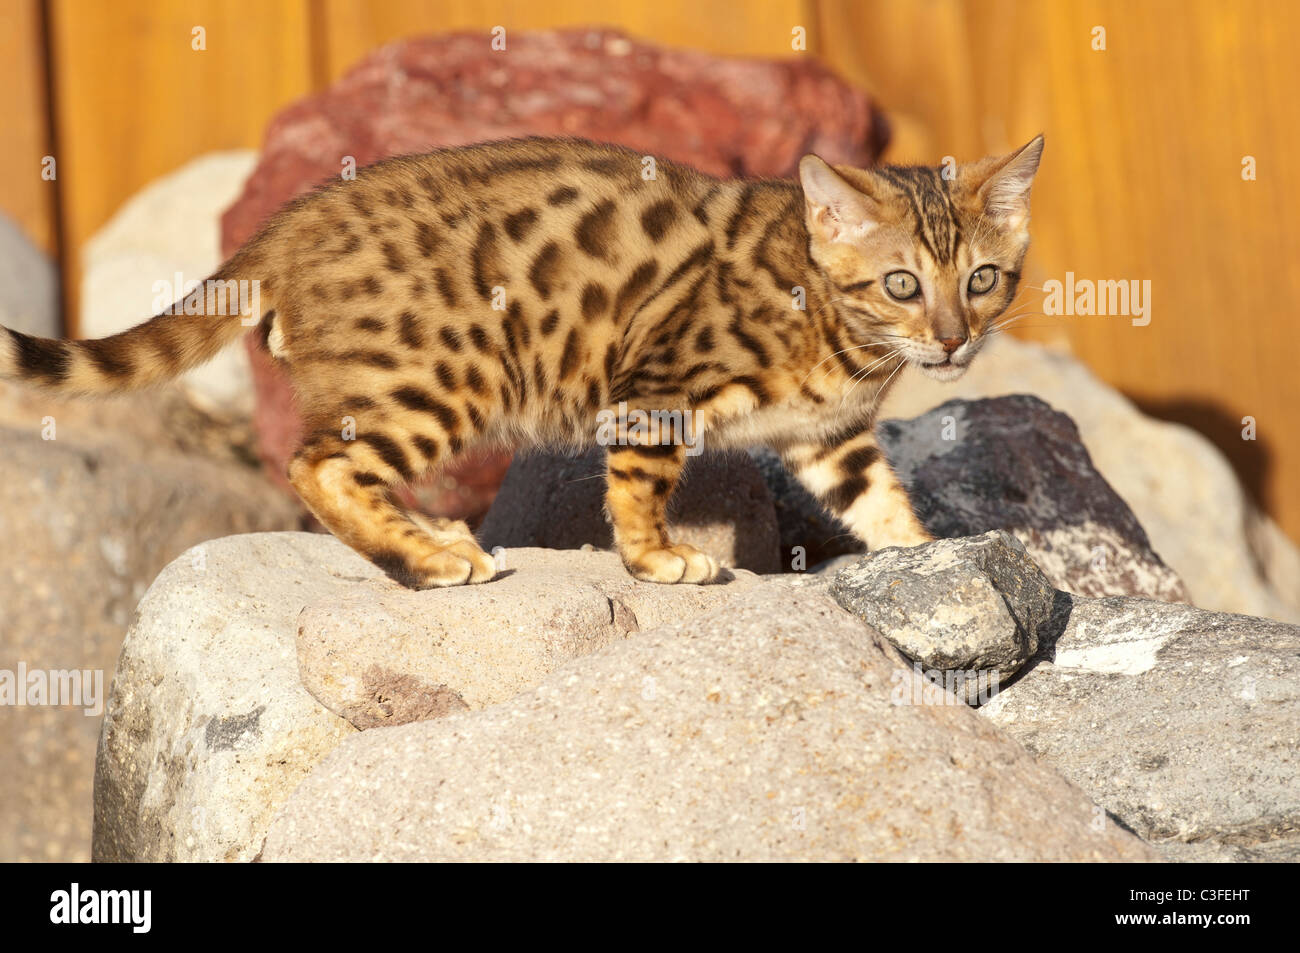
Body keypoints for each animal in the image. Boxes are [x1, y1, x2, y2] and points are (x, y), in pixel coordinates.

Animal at [0, 134, 1040, 587]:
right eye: (902, 284)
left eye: (984, 278)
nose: (954, 338)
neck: (836, 328)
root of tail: (288, 224)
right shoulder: (652, 389)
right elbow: (637, 486)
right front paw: (657, 559)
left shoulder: (835, 439)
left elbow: (884, 503)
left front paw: (934, 554)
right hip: (440, 379)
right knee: (316, 462)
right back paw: (424, 557)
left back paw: (427, 538)